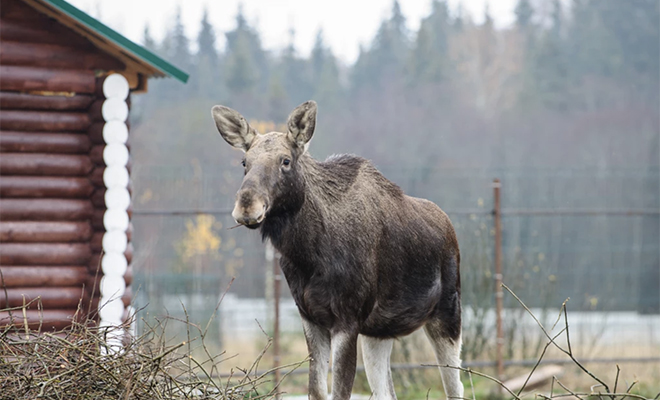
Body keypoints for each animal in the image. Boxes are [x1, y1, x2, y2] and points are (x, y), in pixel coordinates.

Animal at [213, 102, 464, 400]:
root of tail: (450, 228)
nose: (247, 206)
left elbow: (339, 392)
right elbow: (316, 390)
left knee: (457, 387)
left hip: (447, 313)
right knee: (386, 391)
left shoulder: (347, 320)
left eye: (285, 161)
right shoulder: (311, 317)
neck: (308, 254)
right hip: (379, 332)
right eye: (244, 162)